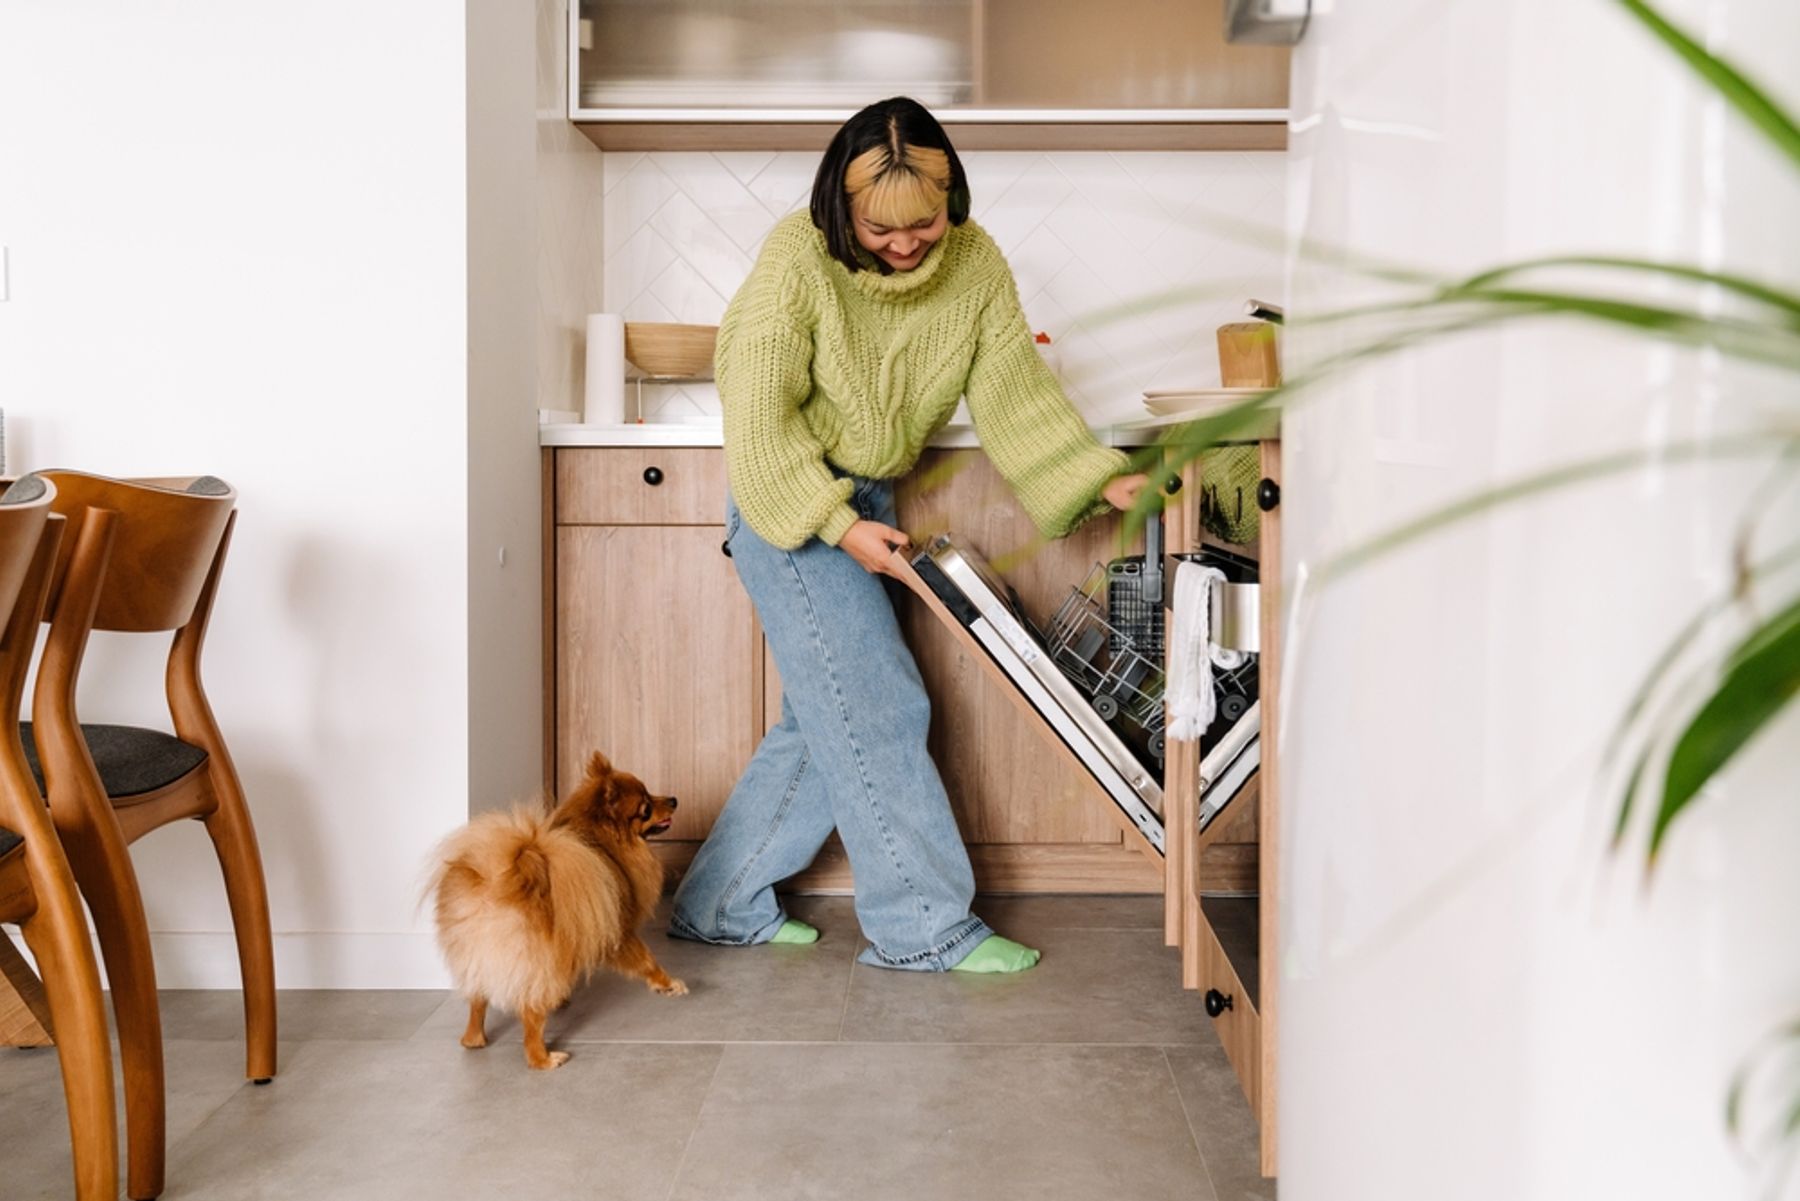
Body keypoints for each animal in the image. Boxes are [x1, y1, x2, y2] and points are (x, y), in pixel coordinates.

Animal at [428, 752, 687, 1073]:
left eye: (650, 792)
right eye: (646, 807)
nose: (673, 799)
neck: (602, 842)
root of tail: (496, 882)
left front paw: (564, 998)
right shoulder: (617, 929)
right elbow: (647, 960)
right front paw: (668, 984)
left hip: (478, 957)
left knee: (477, 1000)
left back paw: (474, 1038)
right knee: (531, 1018)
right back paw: (545, 1058)